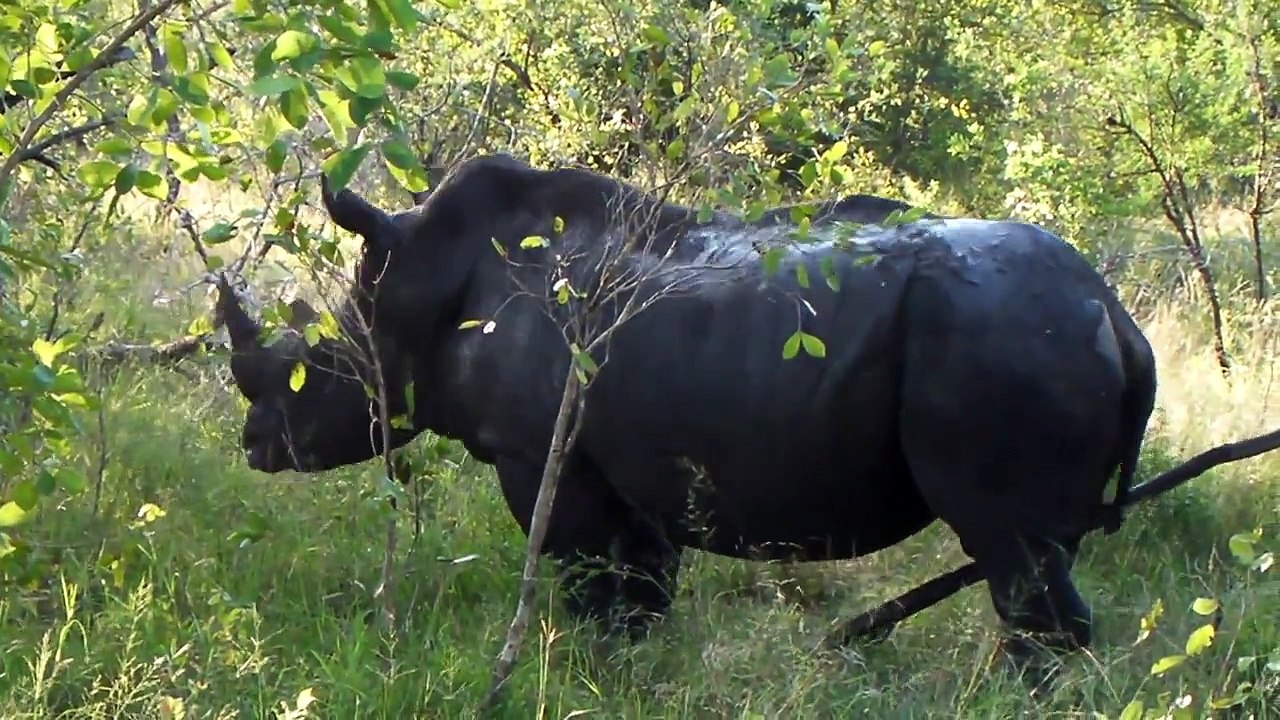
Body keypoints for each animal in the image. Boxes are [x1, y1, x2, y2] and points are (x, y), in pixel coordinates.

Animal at [217, 153, 1157, 671]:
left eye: (308, 372)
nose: (254, 444)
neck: (415, 287)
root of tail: (1112, 312)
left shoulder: (537, 453)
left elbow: (590, 584)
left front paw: (592, 670)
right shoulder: (625, 457)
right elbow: (641, 591)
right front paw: (632, 673)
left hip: (1002, 342)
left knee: (1014, 554)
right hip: (1022, 336)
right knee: (1035, 556)